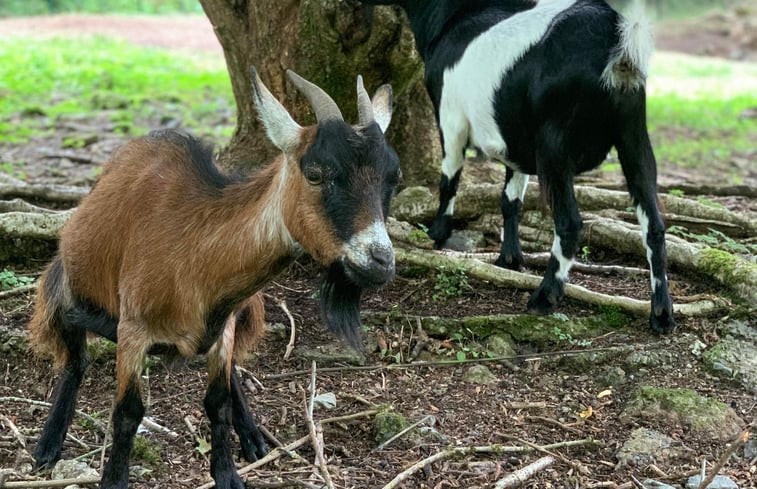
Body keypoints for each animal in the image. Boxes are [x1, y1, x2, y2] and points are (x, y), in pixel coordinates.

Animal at [27, 69, 398, 488]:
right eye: (316, 174)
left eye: (392, 178)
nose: (380, 260)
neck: (193, 254)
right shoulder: (133, 330)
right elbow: (127, 412)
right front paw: (113, 479)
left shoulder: (224, 326)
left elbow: (218, 401)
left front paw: (228, 472)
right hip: (68, 288)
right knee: (76, 359)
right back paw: (48, 444)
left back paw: (252, 437)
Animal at [362, 0, 672, 332]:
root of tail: (616, 43)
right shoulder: (515, 143)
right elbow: (510, 200)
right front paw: (509, 259)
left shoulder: (451, 117)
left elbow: (449, 180)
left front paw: (436, 235)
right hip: (633, 134)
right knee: (654, 225)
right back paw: (662, 314)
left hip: (554, 143)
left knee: (569, 222)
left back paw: (545, 297)